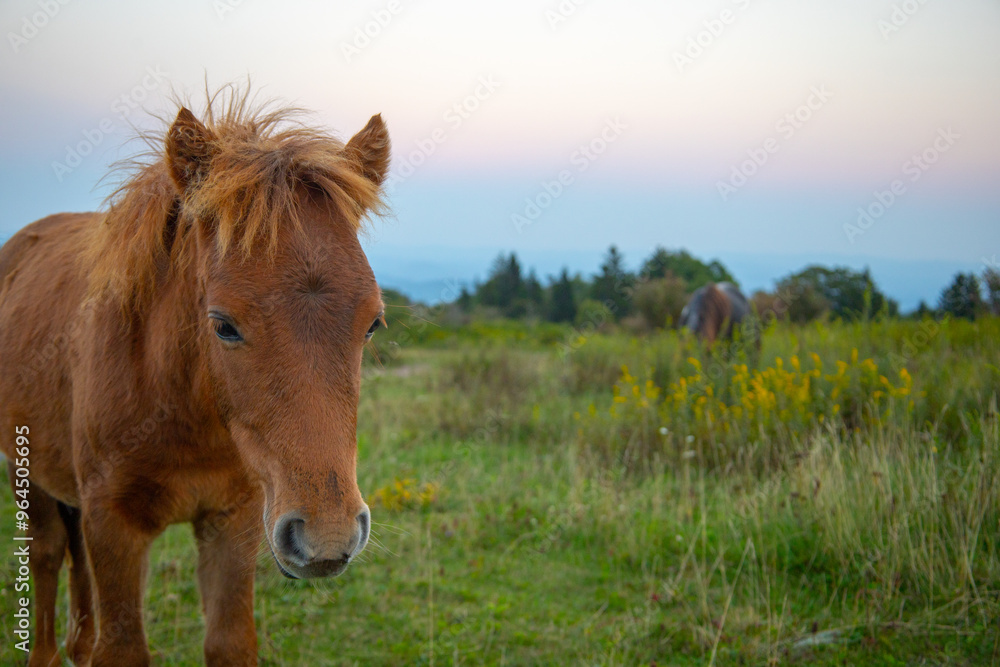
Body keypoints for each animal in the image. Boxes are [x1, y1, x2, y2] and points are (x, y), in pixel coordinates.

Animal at [0, 89, 391, 666]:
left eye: (372, 323)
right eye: (223, 325)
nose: (326, 536)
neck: (180, 404)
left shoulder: (235, 521)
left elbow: (228, 641)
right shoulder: (113, 526)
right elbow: (121, 646)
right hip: (25, 473)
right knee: (46, 557)